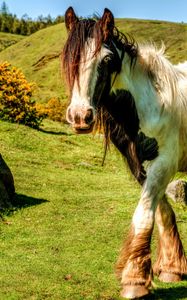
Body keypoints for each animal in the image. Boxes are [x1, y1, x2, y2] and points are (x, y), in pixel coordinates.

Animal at [62, 7, 187, 300]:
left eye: (107, 59)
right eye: (69, 56)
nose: (80, 116)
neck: (152, 104)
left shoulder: (165, 163)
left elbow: (144, 214)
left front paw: (135, 280)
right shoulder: (140, 165)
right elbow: (161, 211)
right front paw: (171, 268)